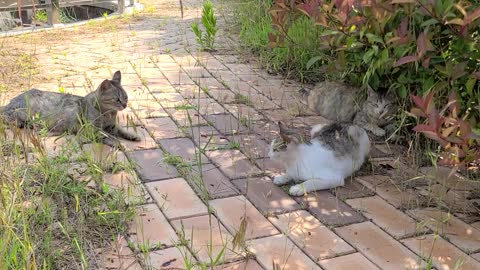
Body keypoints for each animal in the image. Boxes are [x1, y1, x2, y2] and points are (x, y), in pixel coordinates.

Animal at [0, 70, 140, 146]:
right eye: (117, 99)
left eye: (126, 97)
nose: (124, 105)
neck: (109, 115)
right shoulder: (91, 129)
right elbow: (107, 136)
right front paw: (119, 143)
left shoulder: (112, 126)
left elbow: (121, 130)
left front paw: (132, 135)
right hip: (21, 113)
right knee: (7, 116)